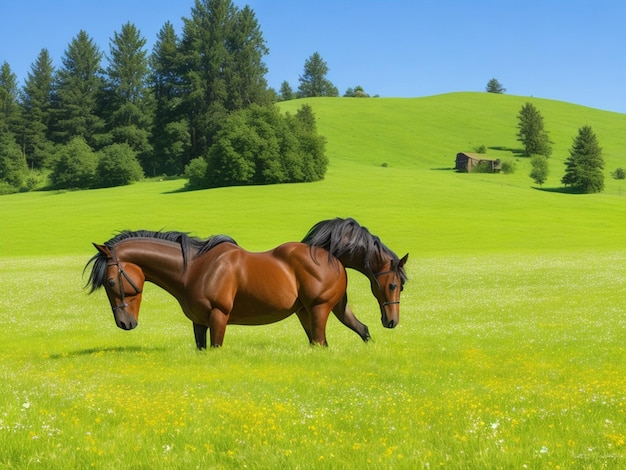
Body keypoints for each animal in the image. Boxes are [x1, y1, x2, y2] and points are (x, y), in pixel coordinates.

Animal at [85, 218, 408, 346]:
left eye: (111, 282)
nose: (125, 324)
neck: (195, 269)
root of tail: (328, 252)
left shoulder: (218, 317)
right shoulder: (199, 323)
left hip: (318, 310)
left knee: (323, 341)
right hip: (314, 311)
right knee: (359, 331)